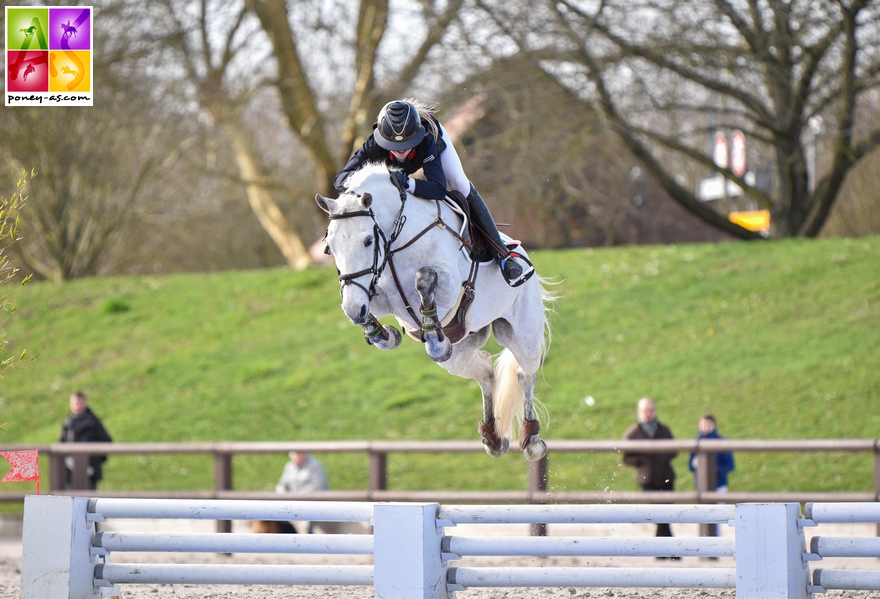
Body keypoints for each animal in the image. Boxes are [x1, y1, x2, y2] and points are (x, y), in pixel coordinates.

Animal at [314, 162, 552, 462]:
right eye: (330, 246)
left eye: (368, 240)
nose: (355, 308)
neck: (397, 240)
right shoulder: (374, 293)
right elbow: (364, 304)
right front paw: (383, 334)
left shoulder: (449, 286)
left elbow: (425, 277)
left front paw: (432, 341)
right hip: (460, 349)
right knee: (485, 372)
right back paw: (492, 438)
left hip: (523, 332)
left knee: (525, 373)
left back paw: (531, 440)